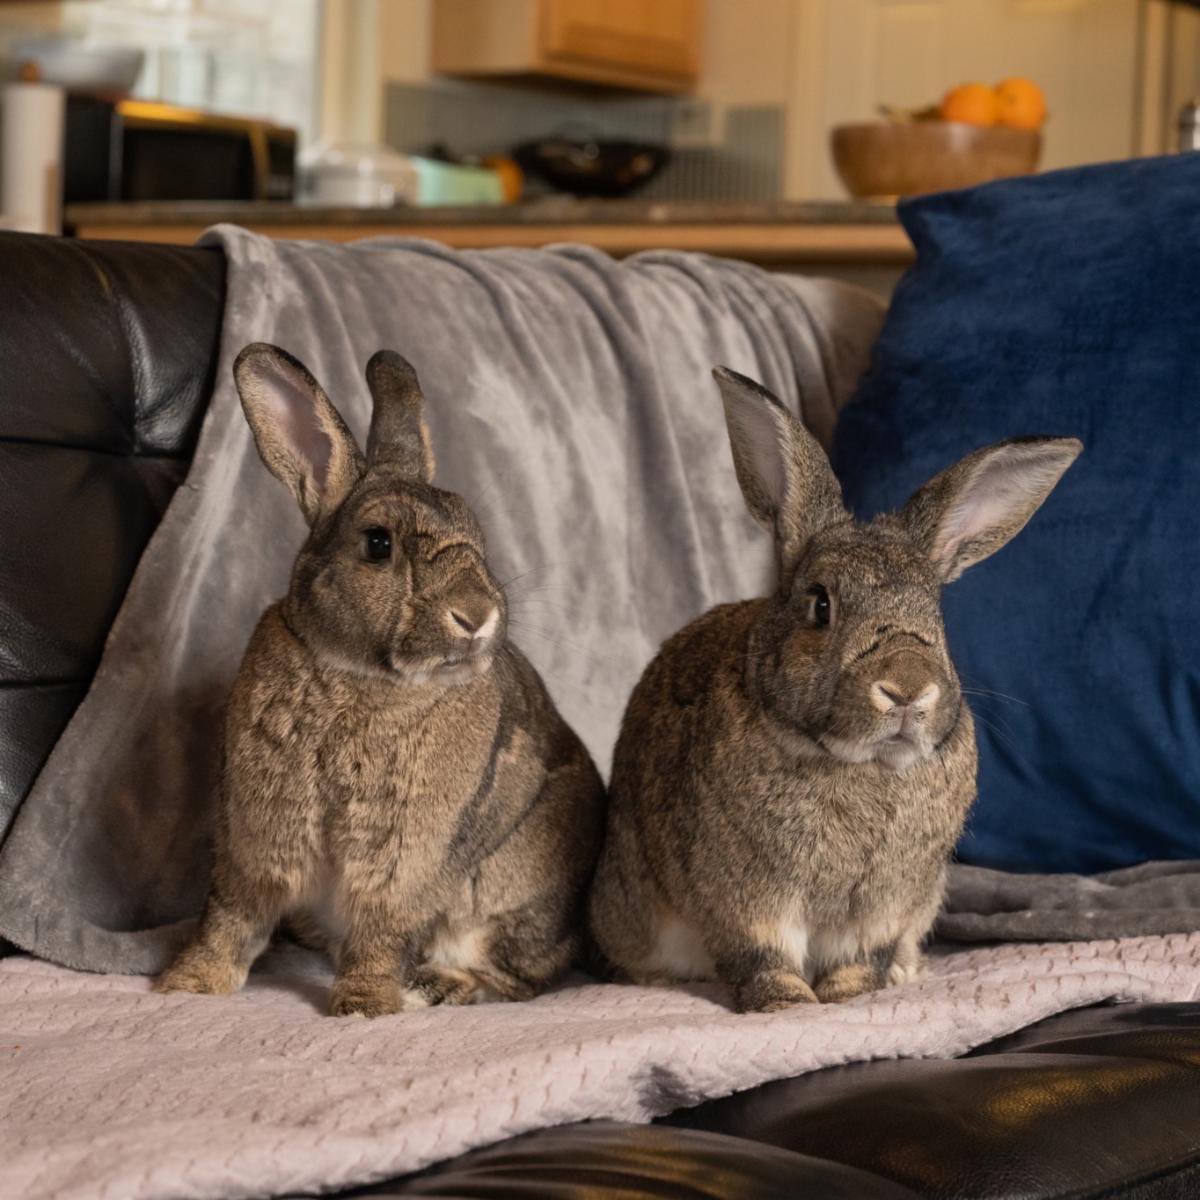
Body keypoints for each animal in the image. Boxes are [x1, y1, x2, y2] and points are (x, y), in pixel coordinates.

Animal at [155, 343, 606, 1018]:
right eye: (377, 543)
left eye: (478, 535)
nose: (476, 613)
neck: (357, 675)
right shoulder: (255, 835)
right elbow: (232, 915)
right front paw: (189, 984)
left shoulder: (402, 855)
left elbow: (381, 927)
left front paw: (366, 1004)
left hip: (505, 891)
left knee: (513, 979)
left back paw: (432, 986)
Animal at [588, 365, 1081, 1014]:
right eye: (821, 606)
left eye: (936, 616)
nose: (907, 689)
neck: (860, 764)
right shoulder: (747, 898)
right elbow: (762, 954)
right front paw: (787, 1004)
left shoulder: (883, 908)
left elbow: (859, 957)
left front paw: (851, 996)